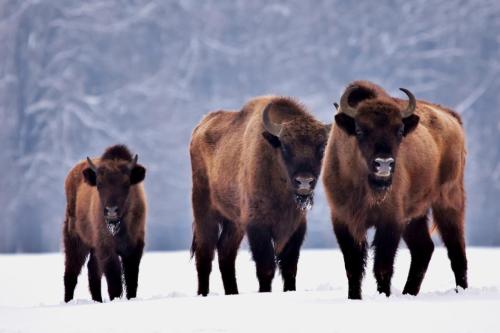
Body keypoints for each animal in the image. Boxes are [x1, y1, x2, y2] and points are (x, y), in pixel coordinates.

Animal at [62, 143, 146, 300]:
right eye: (99, 184)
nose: (111, 211)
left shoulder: (134, 248)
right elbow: (114, 281)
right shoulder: (106, 249)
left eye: (126, 184)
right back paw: (68, 301)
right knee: (71, 273)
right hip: (75, 240)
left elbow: (131, 280)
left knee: (92, 271)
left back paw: (98, 300)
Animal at [189, 94, 330, 294]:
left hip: (235, 222)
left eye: (322, 147)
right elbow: (266, 267)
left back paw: (233, 293)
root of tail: (200, 127)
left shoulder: (295, 228)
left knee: (225, 252)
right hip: (205, 211)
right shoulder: (257, 226)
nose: (304, 181)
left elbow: (289, 267)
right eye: (285, 147)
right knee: (205, 254)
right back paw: (203, 294)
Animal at [322, 80, 466, 298]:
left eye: (399, 131)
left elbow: (382, 267)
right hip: (415, 216)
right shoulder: (343, 220)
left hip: (448, 202)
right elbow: (353, 267)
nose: (384, 164)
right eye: (360, 130)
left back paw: (461, 291)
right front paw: (354, 298)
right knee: (424, 248)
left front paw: (384, 295)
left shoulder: (390, 221)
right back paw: (409, 293)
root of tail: (451, 118)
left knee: (456, 249)